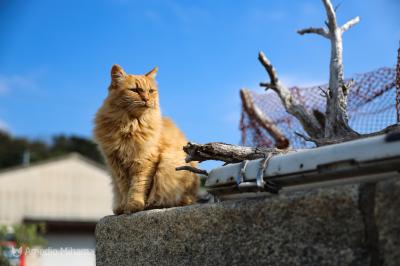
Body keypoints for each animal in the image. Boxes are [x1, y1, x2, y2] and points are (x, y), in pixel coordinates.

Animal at [94, 64, 200, 214]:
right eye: (135, 90)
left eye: (150, 91)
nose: (146, 99)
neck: (129, 126)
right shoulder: (116, 165)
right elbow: (124, 188)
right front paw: (125, 206)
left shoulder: (144, 161)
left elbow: (139, 186)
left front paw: (135, 205)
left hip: (170, 164)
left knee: (179, 200)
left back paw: (153, 204)